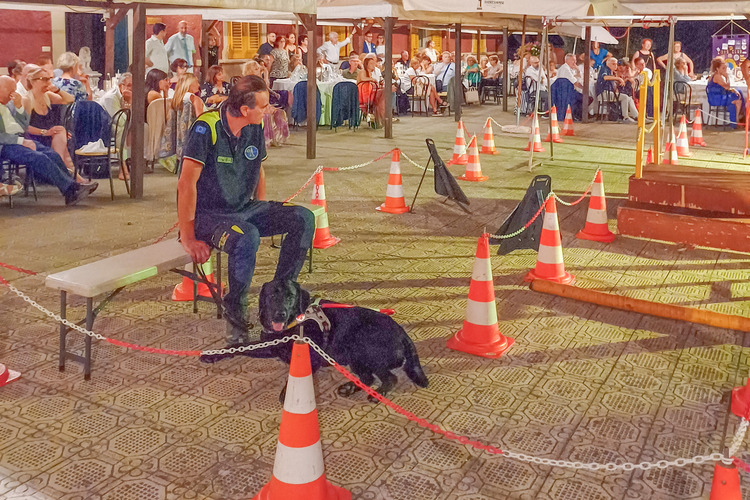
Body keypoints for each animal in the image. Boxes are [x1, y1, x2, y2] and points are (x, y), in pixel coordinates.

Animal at [238, 278, 432, 402]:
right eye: (272, 296)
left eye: (290, 297)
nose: (281, 314)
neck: (295, 321)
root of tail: (403, 333)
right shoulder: (269, 345)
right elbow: (242, 346)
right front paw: (229, 352)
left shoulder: (311, 357)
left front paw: (287, 394)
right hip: (357, 357)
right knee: (368, 378)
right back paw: (350, 388)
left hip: (363, 347)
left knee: (390, 378)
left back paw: (378, 394)